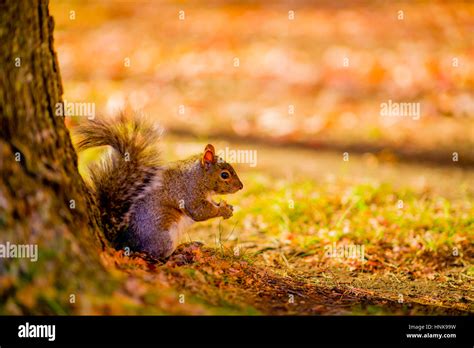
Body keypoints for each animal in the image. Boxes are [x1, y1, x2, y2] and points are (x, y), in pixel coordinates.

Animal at [77, 113, 244, 260]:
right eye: (224, 175)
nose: (241, 187)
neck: (199, 177)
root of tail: (124, 243)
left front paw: (228, 208)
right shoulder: (189, 193)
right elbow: (200, 212)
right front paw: (223, 210)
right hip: (164, 239)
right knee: (156, 255)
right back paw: (180, 253)